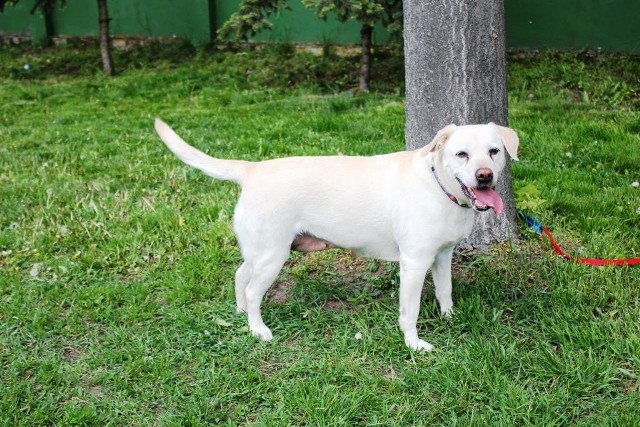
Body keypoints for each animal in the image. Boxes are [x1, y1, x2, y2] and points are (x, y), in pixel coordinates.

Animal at [155, 118, 520, 352]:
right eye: (461, 154)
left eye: (494, 151)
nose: (484, 176)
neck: (438, 185)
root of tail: (252, 169)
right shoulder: (414, 264)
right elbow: (411, 312)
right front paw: (414, 345)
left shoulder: (442, 256)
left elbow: (445, 292)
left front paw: (450, 318)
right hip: (273, 256)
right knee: (253, 289)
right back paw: (258, 329)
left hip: (259, 250)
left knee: (240, 275)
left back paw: (242, 314)